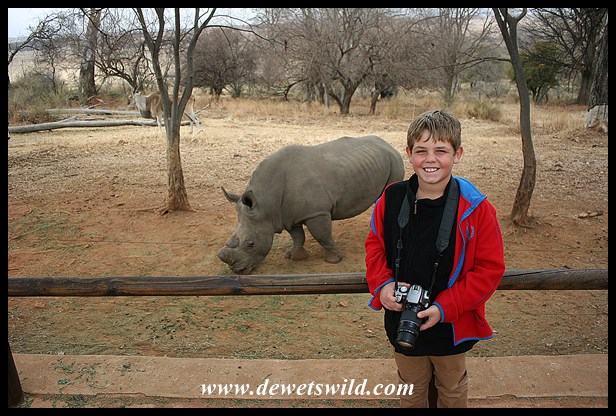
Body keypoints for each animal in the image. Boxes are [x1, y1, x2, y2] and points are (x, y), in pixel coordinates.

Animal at [218, 135, 405, 274]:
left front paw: (334, 260)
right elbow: (297, 236)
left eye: (251, 244)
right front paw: (294, 256)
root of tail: (388, 145)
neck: (266, 204)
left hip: (395, 160)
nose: (237, 270)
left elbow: (322, 235)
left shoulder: (317, 212)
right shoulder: (287, 215)